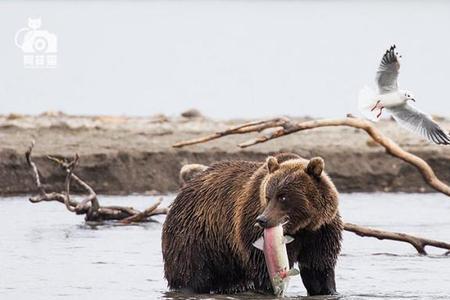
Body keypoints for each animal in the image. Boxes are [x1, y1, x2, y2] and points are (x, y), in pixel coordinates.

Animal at [163, 152, 342, 296]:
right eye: (268, 196)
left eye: (283, 197)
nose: (262, 220)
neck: (303, 226)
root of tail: (183, 191)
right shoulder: (251, 226)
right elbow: (263, 271)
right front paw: (269, 288)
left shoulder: (321, 232)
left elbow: (318, 270)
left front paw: (328, 290)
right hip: (196, 237)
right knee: (190, 274)